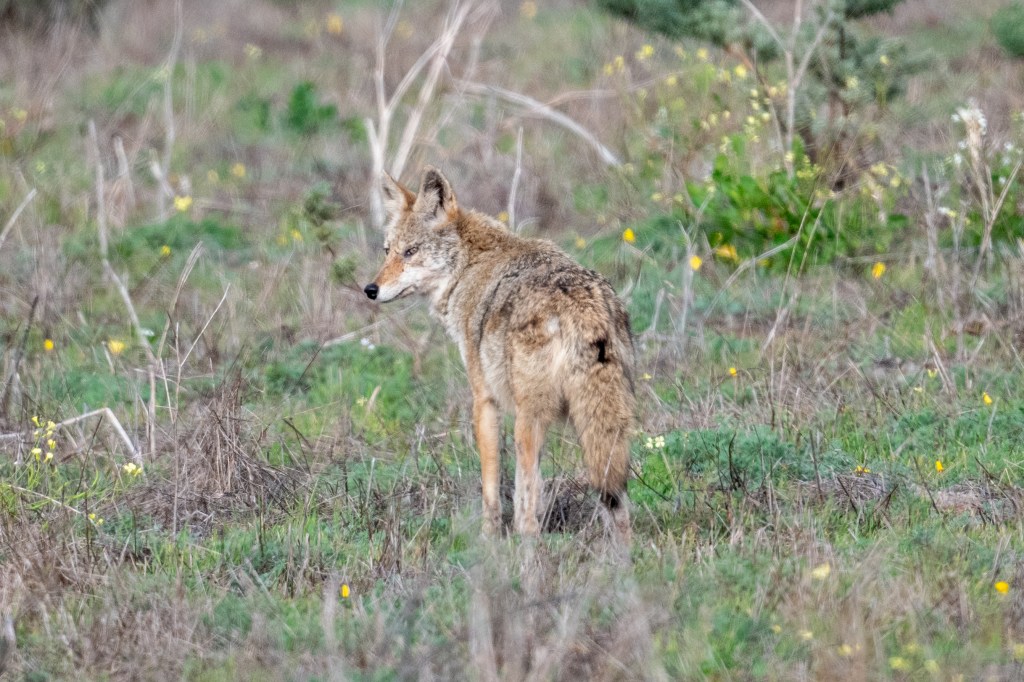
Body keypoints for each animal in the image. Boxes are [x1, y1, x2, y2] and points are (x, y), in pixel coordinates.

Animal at [364, 166, 635, 544]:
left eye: (411, 251)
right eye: (388, 250)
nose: (370, 290)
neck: (468, 266)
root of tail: (583, 308)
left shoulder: (484, 400)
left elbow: (492, 484)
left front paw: (487, 538)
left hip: (529, 421)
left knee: (529, 514)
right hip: (605, 424)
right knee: (616, 502)